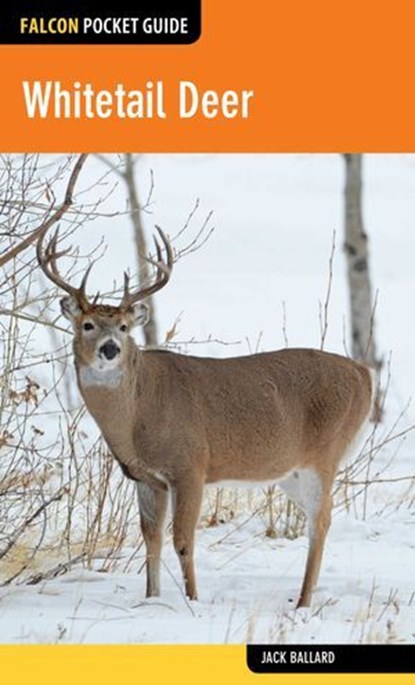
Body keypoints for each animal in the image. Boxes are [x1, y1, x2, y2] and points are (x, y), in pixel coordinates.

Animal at [37, 225, 374, 608]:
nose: (110, 349)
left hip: (325, 454)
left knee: (321, 521)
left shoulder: (191, 465)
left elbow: (183, 541)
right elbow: (151, 540)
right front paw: (151, 599)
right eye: (88, 324)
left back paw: (303, 602)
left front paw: (192, 600)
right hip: (291, 471)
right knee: (319, 517)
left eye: (123, 327)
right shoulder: (145, 477)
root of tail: (364, 375)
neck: (138, 413)